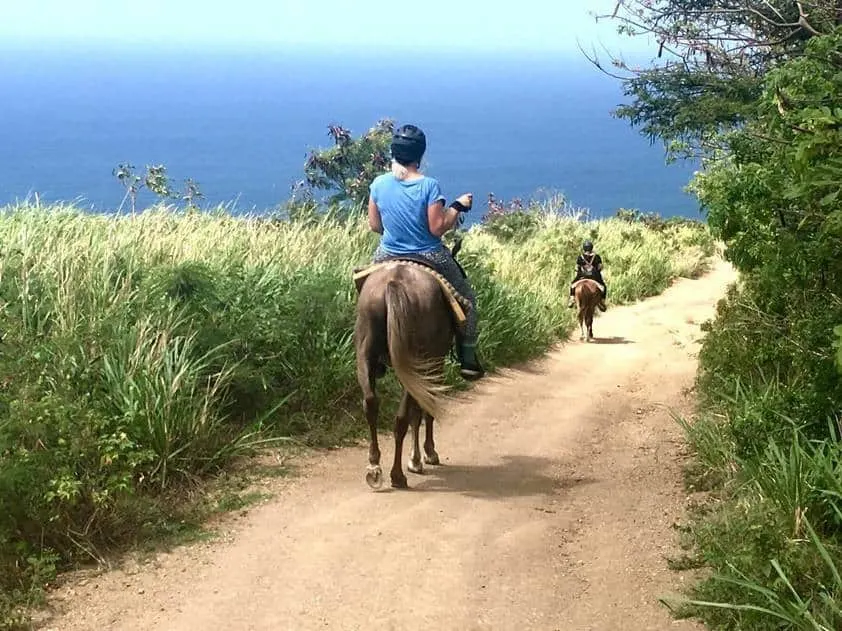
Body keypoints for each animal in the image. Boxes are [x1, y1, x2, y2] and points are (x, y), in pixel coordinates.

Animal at [353, 239, 465, 490]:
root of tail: (393, 282)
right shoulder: (432, 366)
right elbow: (424, 409)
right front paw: (423, 456)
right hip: (417, 361)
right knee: (403, 417)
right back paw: (397, 474)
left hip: (366, 353)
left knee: (371, 403)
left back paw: (374, 466)